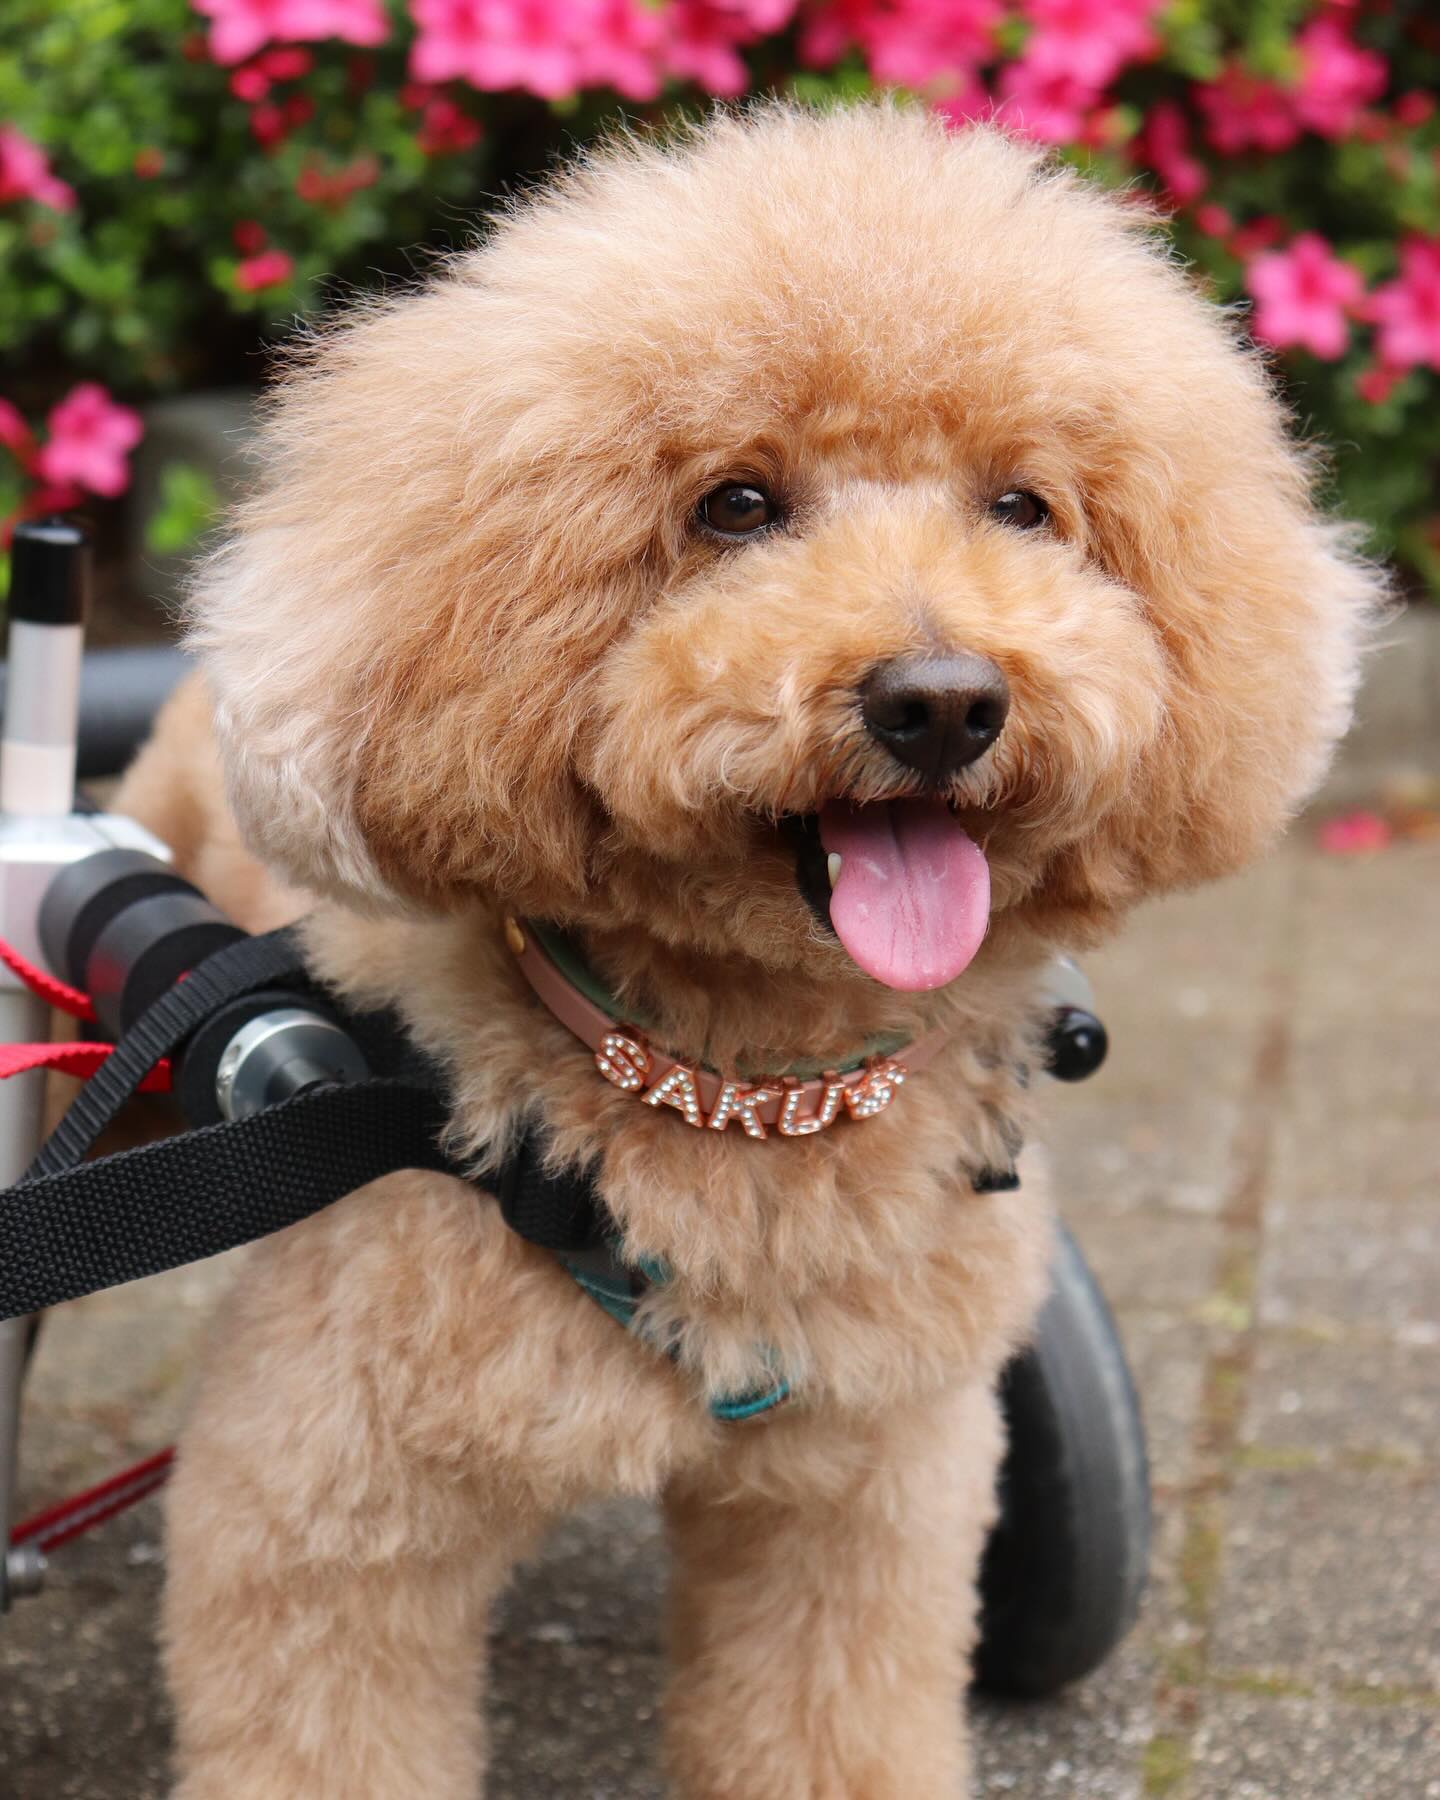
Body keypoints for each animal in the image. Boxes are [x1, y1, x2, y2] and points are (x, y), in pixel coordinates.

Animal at [114, 100, 1377, 1798]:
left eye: (1023, 507)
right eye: (735, 506)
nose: (942, 701)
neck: (744, 1095)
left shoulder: (862, 1490)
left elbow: (832, 1713)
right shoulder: (328, 1510)